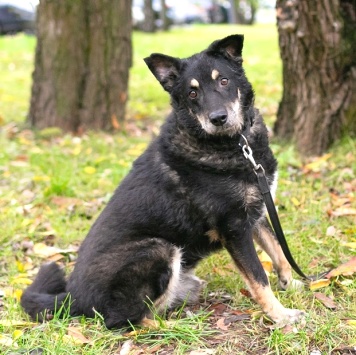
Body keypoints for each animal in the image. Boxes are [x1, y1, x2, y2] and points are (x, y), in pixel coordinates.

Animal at [20, 34, 304, 330]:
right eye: (192, 93)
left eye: (224, 81)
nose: (218, 118)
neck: (235, 143)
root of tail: (70, 298)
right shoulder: (234, 228)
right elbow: (259, 277)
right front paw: (281, 315)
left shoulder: (256, 211)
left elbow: (277, 251)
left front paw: (291, 283)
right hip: (158, 249)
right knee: (123, 320)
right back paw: (172, 328)